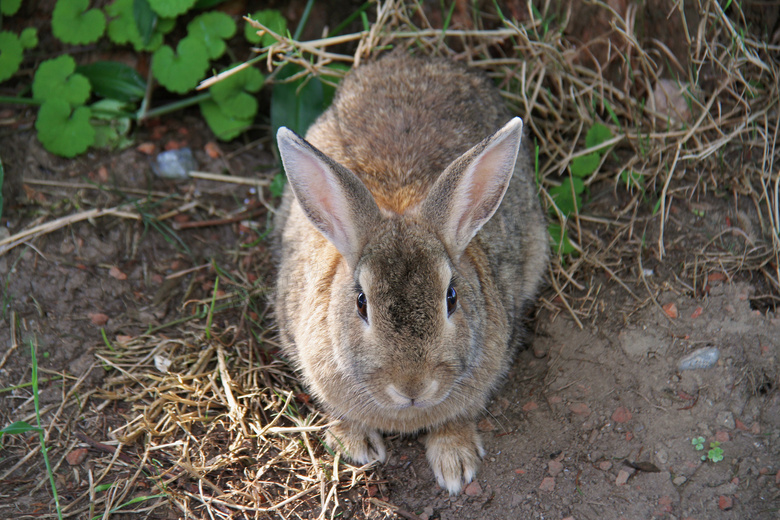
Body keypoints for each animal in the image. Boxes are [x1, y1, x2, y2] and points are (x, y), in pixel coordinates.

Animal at [274, 53, 548, 496]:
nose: (413, 387)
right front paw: (354, 444)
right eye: (361, 304)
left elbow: (459, 416)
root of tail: (415, 60)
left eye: (451, 298)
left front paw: (455, 463)